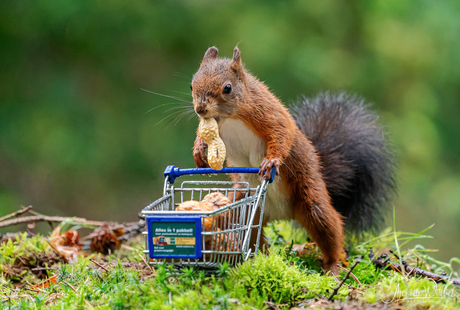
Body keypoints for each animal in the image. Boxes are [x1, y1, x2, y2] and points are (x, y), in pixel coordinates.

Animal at [190, 46, 396, 274]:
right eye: (192, 84)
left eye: (227, 88)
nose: (200, 109)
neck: (230, 117)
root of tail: (281, 214)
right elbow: (203, 134)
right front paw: (199, 149)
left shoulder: (268, 112)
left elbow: (282, 133)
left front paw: (271, 161)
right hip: (246, 208)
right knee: (251, 237)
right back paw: (258, 259)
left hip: (312, 202)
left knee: (330, 229)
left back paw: (333, 266)